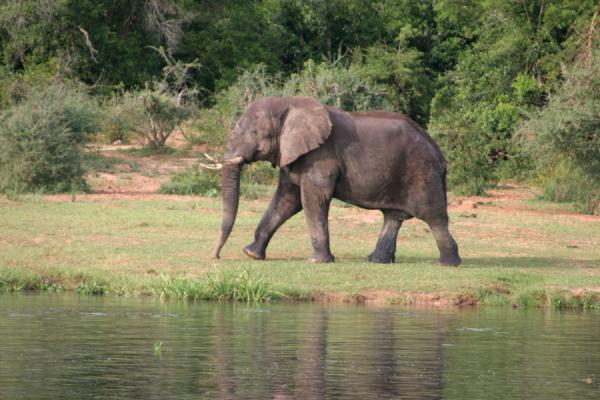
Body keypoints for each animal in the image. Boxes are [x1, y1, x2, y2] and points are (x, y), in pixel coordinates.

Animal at [206, 96, 460, 266]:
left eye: (253, 133)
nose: (215, 256)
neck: (289, 103)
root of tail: (440, 155)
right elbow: (286, 201)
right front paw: (251, 254)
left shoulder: (320, 156)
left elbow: (312, 199)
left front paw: (318, 261)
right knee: (393, 217)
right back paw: (376, 261)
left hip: (422, 173)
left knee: (434, 218)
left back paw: (447, 264)